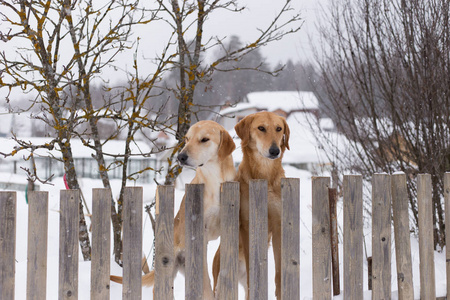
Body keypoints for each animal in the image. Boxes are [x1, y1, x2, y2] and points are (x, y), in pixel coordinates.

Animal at [110, 120, 236, 298]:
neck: (214, 179)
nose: (180, 157)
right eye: (187, 139)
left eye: (204, 139)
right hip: (168, 264)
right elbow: (205, 279)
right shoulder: (201, 232)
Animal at [213, 111, 290, 298]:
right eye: (261, 128)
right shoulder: (247, 225)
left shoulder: (278, 225)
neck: (265, 176)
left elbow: (279, 270)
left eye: (279, 129)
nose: (275, 150)